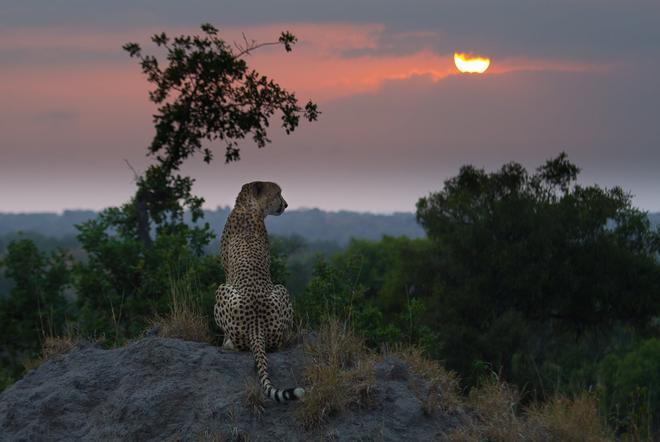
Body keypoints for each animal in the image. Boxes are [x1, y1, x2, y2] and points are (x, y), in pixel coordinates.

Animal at [214, 181, 304, 402]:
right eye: (278, 193)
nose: (286, 204)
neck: (249, 206)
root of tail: (257, 325)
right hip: (281, 290)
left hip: (224, 289)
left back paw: (226, 343)